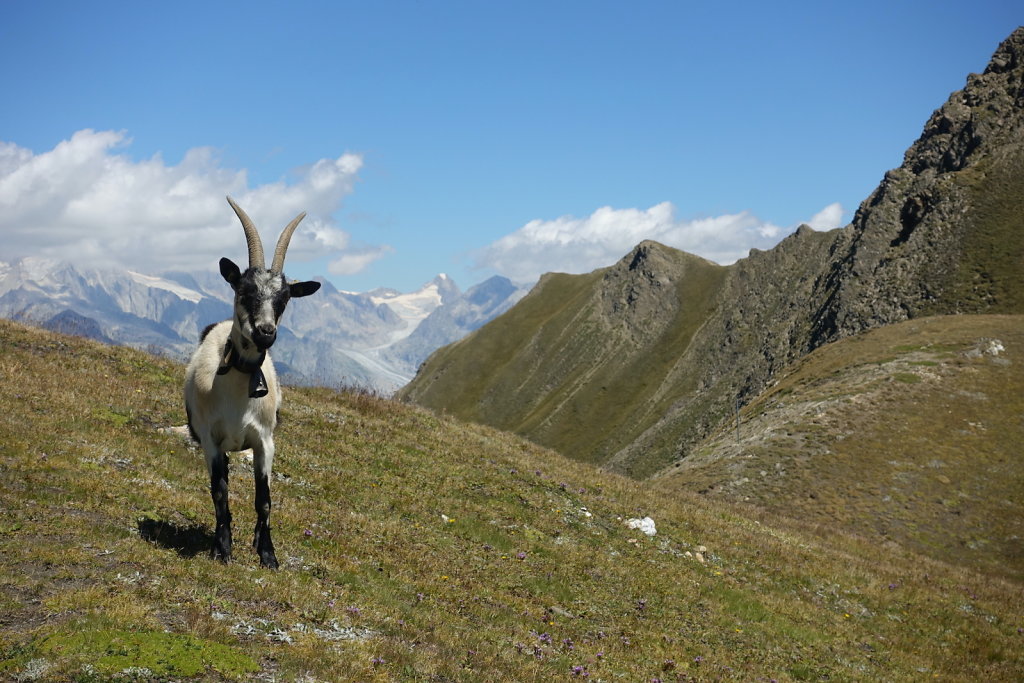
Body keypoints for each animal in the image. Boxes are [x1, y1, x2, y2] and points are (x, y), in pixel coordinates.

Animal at [185, 198, 319, 573]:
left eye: (285, 298)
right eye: (245, 290)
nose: (265, 332)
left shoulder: (264, 443)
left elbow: (265, 500)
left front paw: (268, 554)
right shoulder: (211, 442)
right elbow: (219, 492)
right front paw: (222, 549)